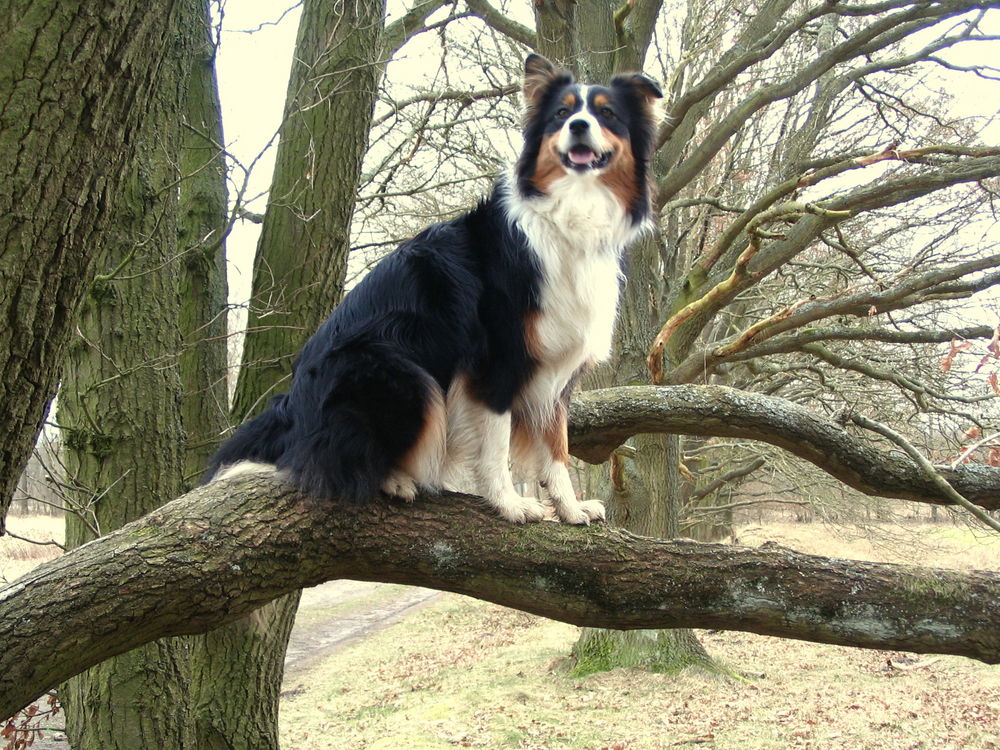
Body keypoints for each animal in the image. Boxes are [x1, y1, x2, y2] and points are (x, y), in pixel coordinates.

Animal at [209, 54, 664, 524]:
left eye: (607, 114)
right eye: (561, 113)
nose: (577, 125)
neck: (570, 213)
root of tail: (293, 409)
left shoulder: (556, 370)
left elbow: (557, 446)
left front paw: (570, 509)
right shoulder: (496, 360)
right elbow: (496, 441)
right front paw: (509, 503)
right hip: (400, 373)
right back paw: (395, 480)